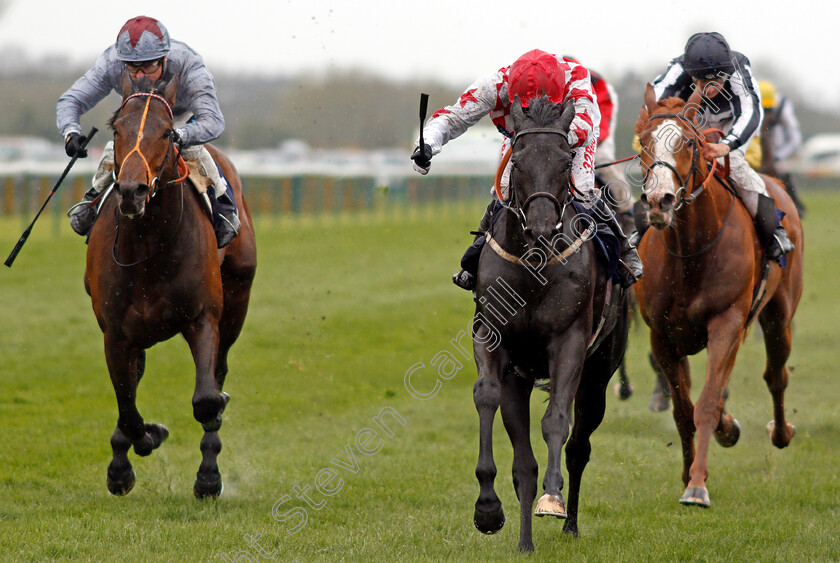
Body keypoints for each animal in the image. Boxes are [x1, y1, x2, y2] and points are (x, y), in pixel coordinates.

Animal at [85, 72, 258, 500]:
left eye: (166, 132)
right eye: (117, 129)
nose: (132, 191)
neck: (149, 245)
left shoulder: (203, 318)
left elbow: (207, 399)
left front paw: (208, 477)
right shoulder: (116, 334)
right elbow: (127, 407)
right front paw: (130, 458)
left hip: (237, 303)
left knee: (219, 372)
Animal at [472, 96, 632, 552]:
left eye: (564, 162)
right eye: (518, 160)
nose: (542, 227)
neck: (534, 265)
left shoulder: (570, 342)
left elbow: (557, 421)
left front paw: (553, 498)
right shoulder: (493, 339)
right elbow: (487, 397)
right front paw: (487, 508)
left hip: (599, 373)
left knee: (579, 446)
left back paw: (570, 523)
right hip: (522, 376)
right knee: (523, 463)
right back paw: (525, 542)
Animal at [632, 86, 804, 508]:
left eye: (690, 142)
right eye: (644, 141)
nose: (659, 200)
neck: (692, 252)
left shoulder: (726, 322)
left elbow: (707, 403)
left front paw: (697, 485)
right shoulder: (662, 337)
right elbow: (683, 409)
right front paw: (688, 472)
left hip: (778, 316)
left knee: (775, 374)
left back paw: (781, 432)